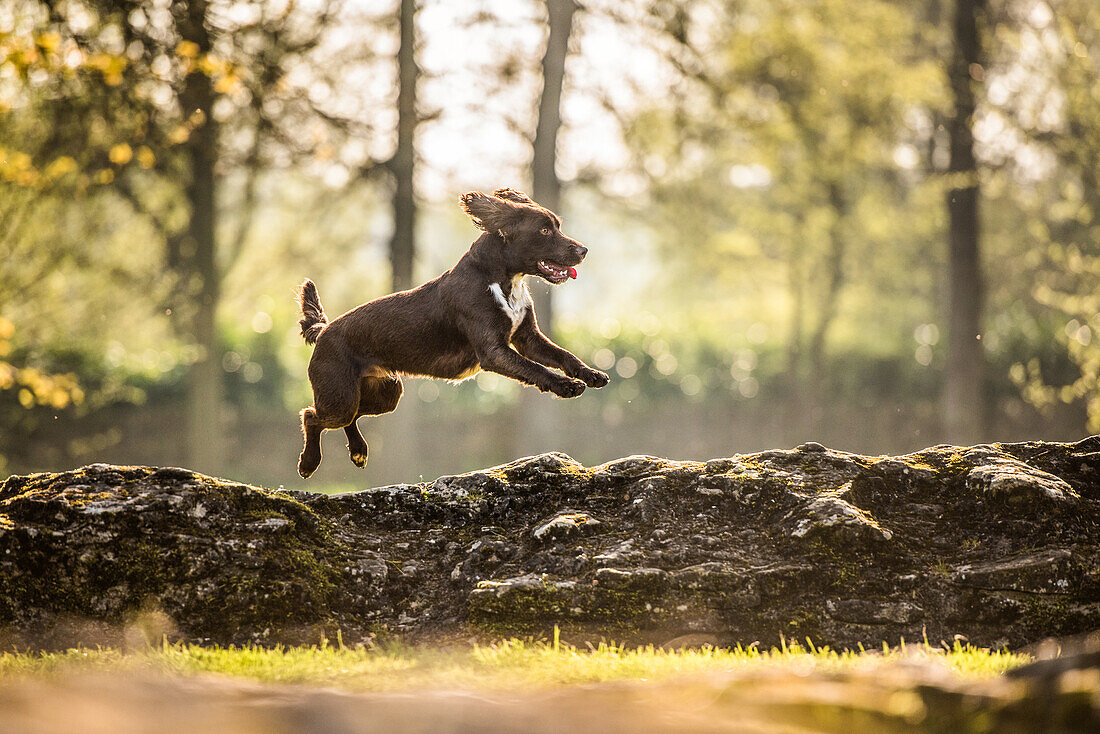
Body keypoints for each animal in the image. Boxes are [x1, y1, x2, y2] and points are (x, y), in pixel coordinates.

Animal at [294, 187, 611, 479]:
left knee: (350, 416)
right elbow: (536, 369)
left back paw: (358, 451)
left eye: (557, 225)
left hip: (386, 392)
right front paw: (566, 386)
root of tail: (323, 331)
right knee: (311, 415)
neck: (501, 280)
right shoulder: (494, 352)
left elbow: (564, 356)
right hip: (340, 395)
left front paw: (592, 375)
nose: (583, 250)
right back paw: (309, 462)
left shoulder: (528, 338)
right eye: (544, 230)